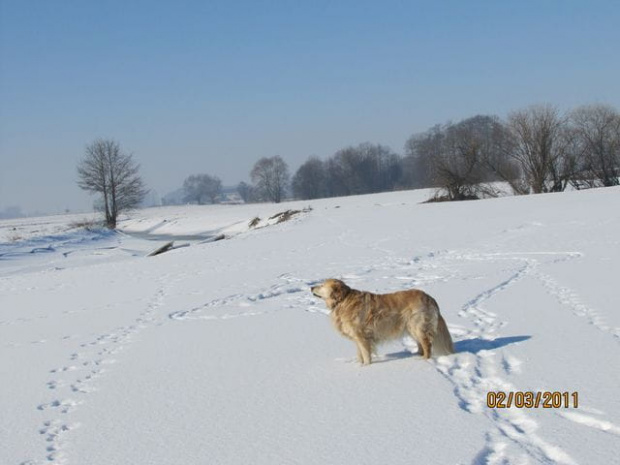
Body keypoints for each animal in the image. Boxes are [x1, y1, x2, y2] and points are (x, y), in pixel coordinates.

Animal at [312, 278, 452, 364]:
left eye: (322, 285)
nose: (311, 287)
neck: (343, 300)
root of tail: (430, 298)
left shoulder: (362, 337)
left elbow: (366, 355)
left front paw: (366, 367)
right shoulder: (357, 339)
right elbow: (360, 355)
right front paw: (359, 365)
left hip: (418, 326)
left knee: (427, 345)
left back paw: (424, 360)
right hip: (412, 328)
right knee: (421, 345)